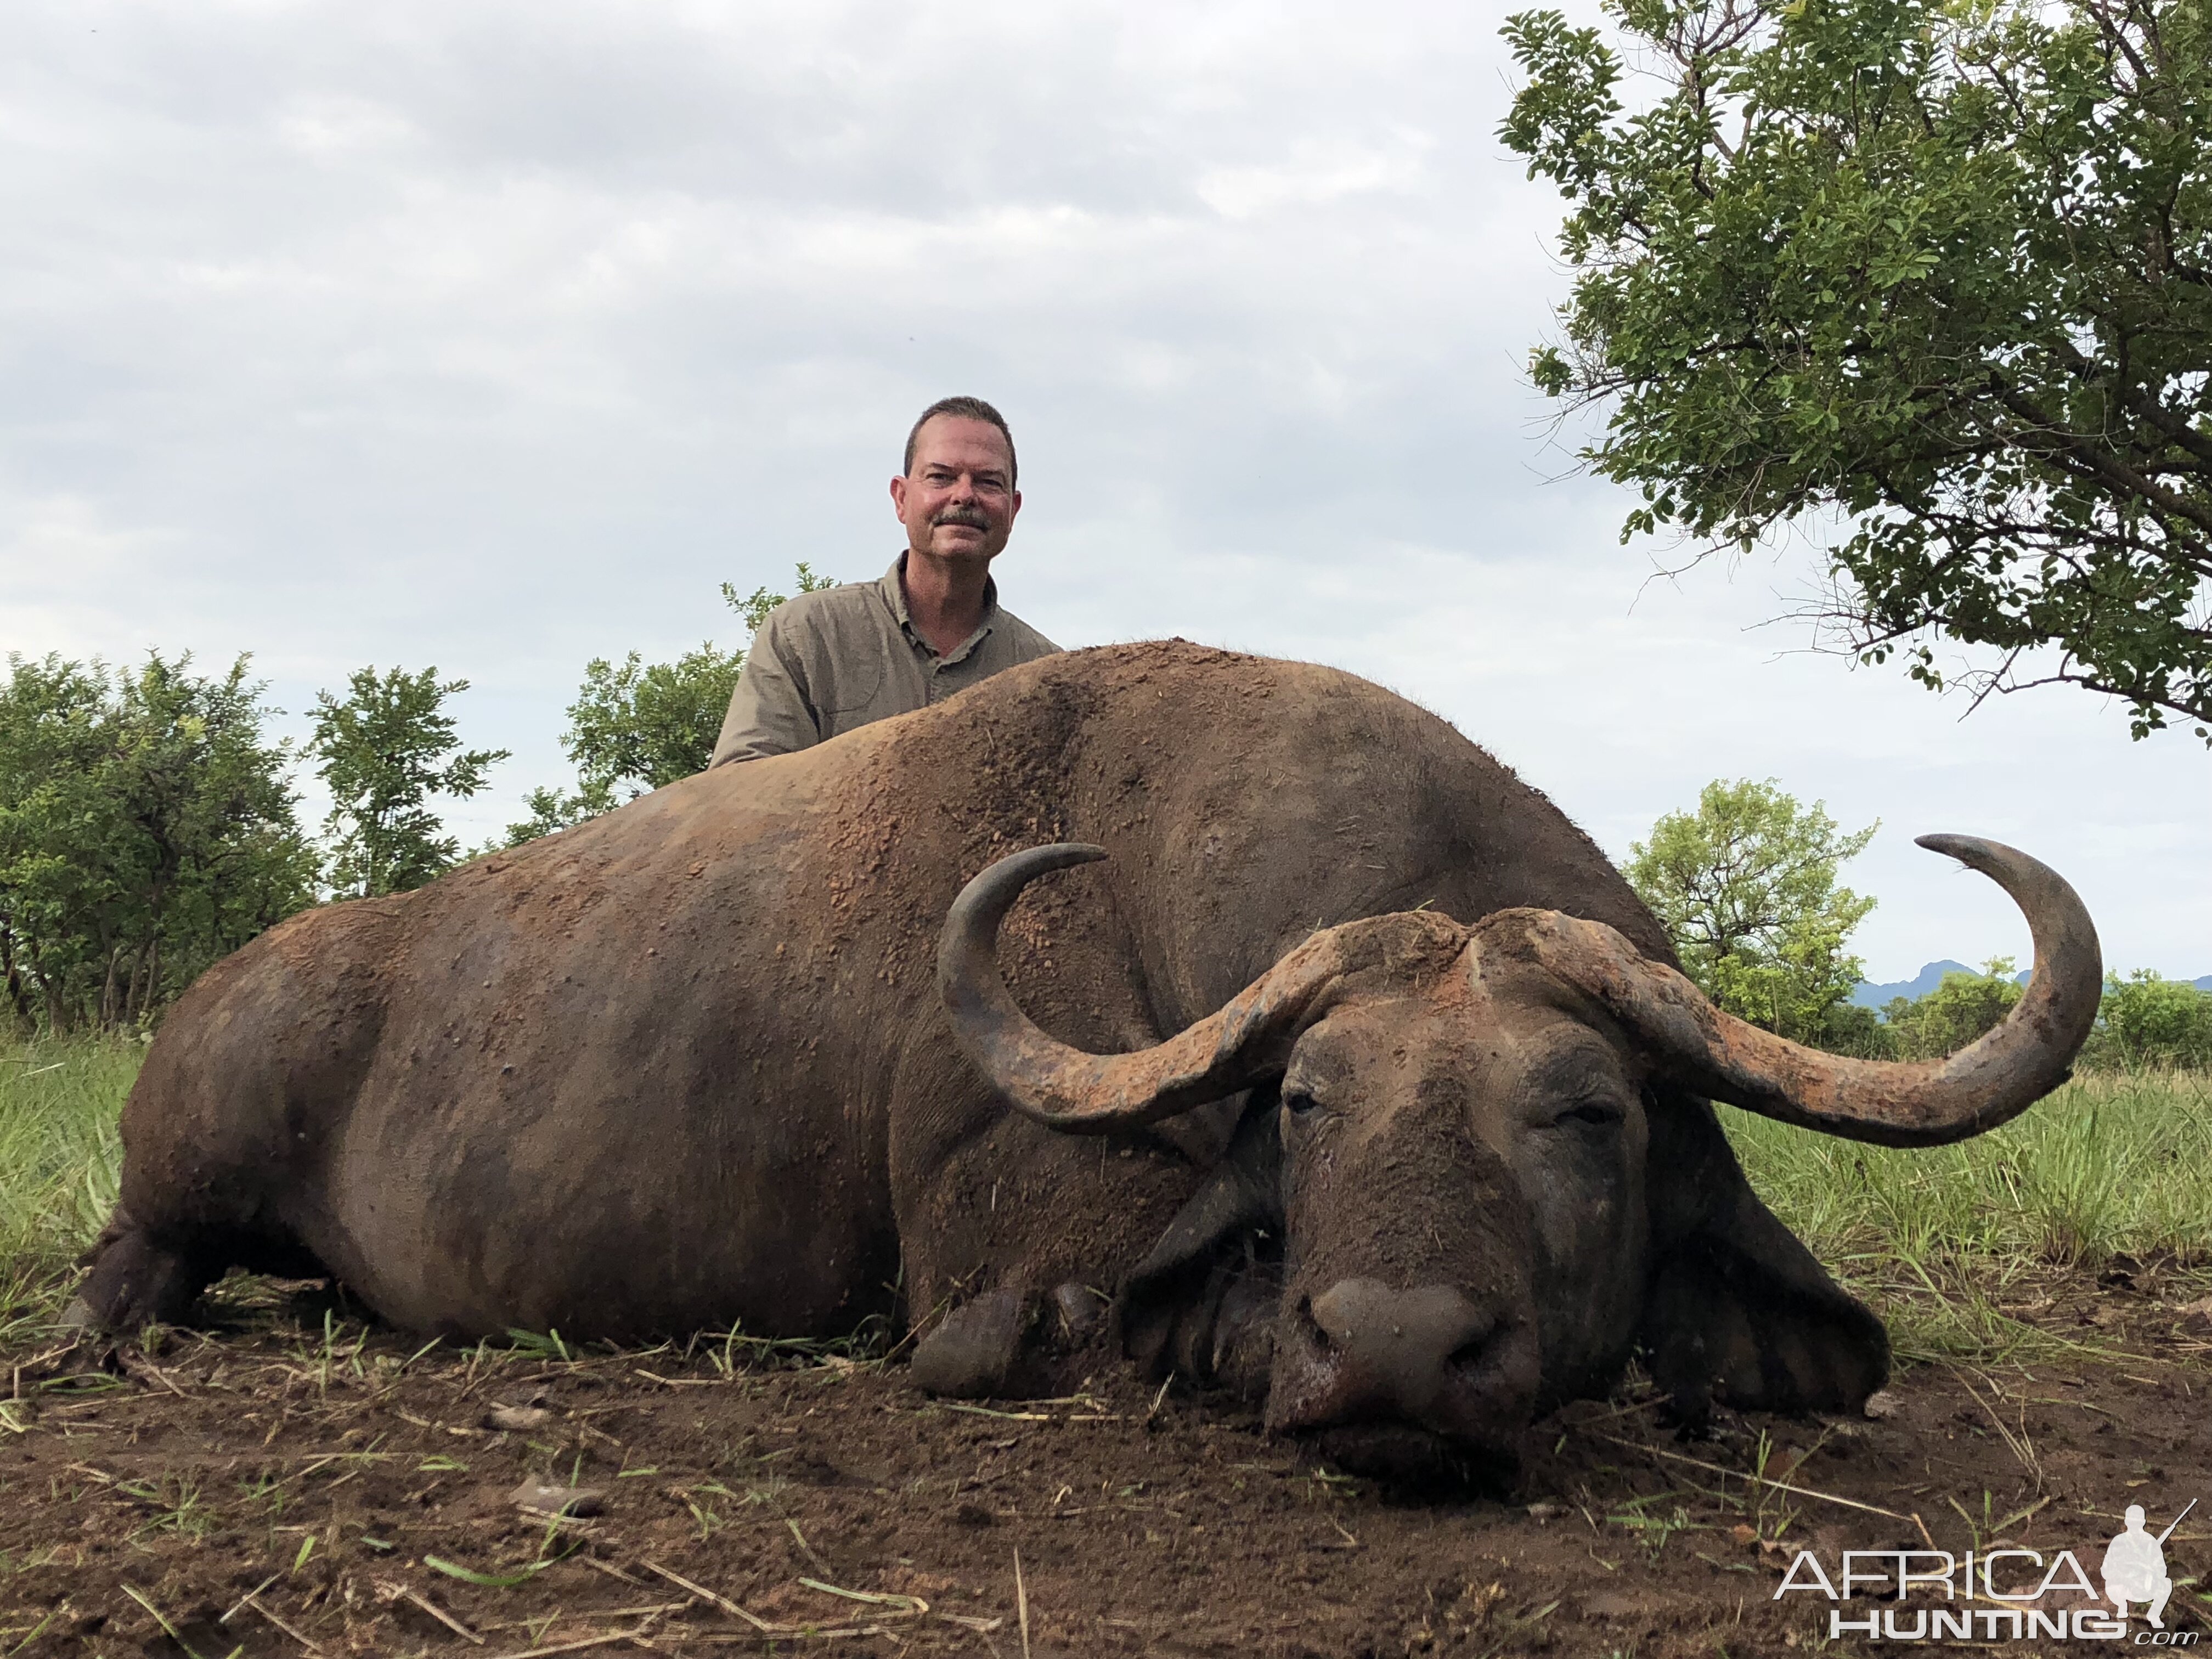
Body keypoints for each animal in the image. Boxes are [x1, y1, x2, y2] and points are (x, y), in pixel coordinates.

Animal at [78, 641, 2097, 1477]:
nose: (1394, 1353)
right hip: (180, 1182)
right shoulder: (1010, 1297)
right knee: (138, 1257)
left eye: (1588, 1112)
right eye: (1306, 1105)